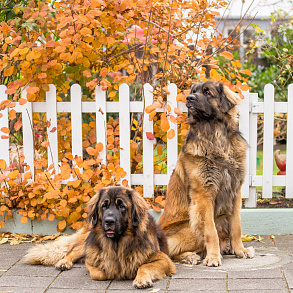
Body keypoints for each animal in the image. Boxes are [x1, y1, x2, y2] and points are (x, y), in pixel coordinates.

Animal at [24, 187, 173, 288]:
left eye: (122, 206)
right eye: (104, 206)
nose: (108, 221)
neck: (117, 244)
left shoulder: (163, 259)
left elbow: (144, 266)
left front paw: (141, 279)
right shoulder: (91, 260)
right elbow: (100, 273)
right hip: (86, 243)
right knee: (72, 251)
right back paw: (64, 262)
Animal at [156, 81, 254, 266]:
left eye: (208, 93)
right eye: (193, 91)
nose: (189, 98)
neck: (215, 137)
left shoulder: (235, 192)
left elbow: (236, 226)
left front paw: (240, 250)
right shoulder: (203, 195)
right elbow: (210, 230)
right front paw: (213, 257)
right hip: (191, 224)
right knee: (169, 252)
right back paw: (190, 256)